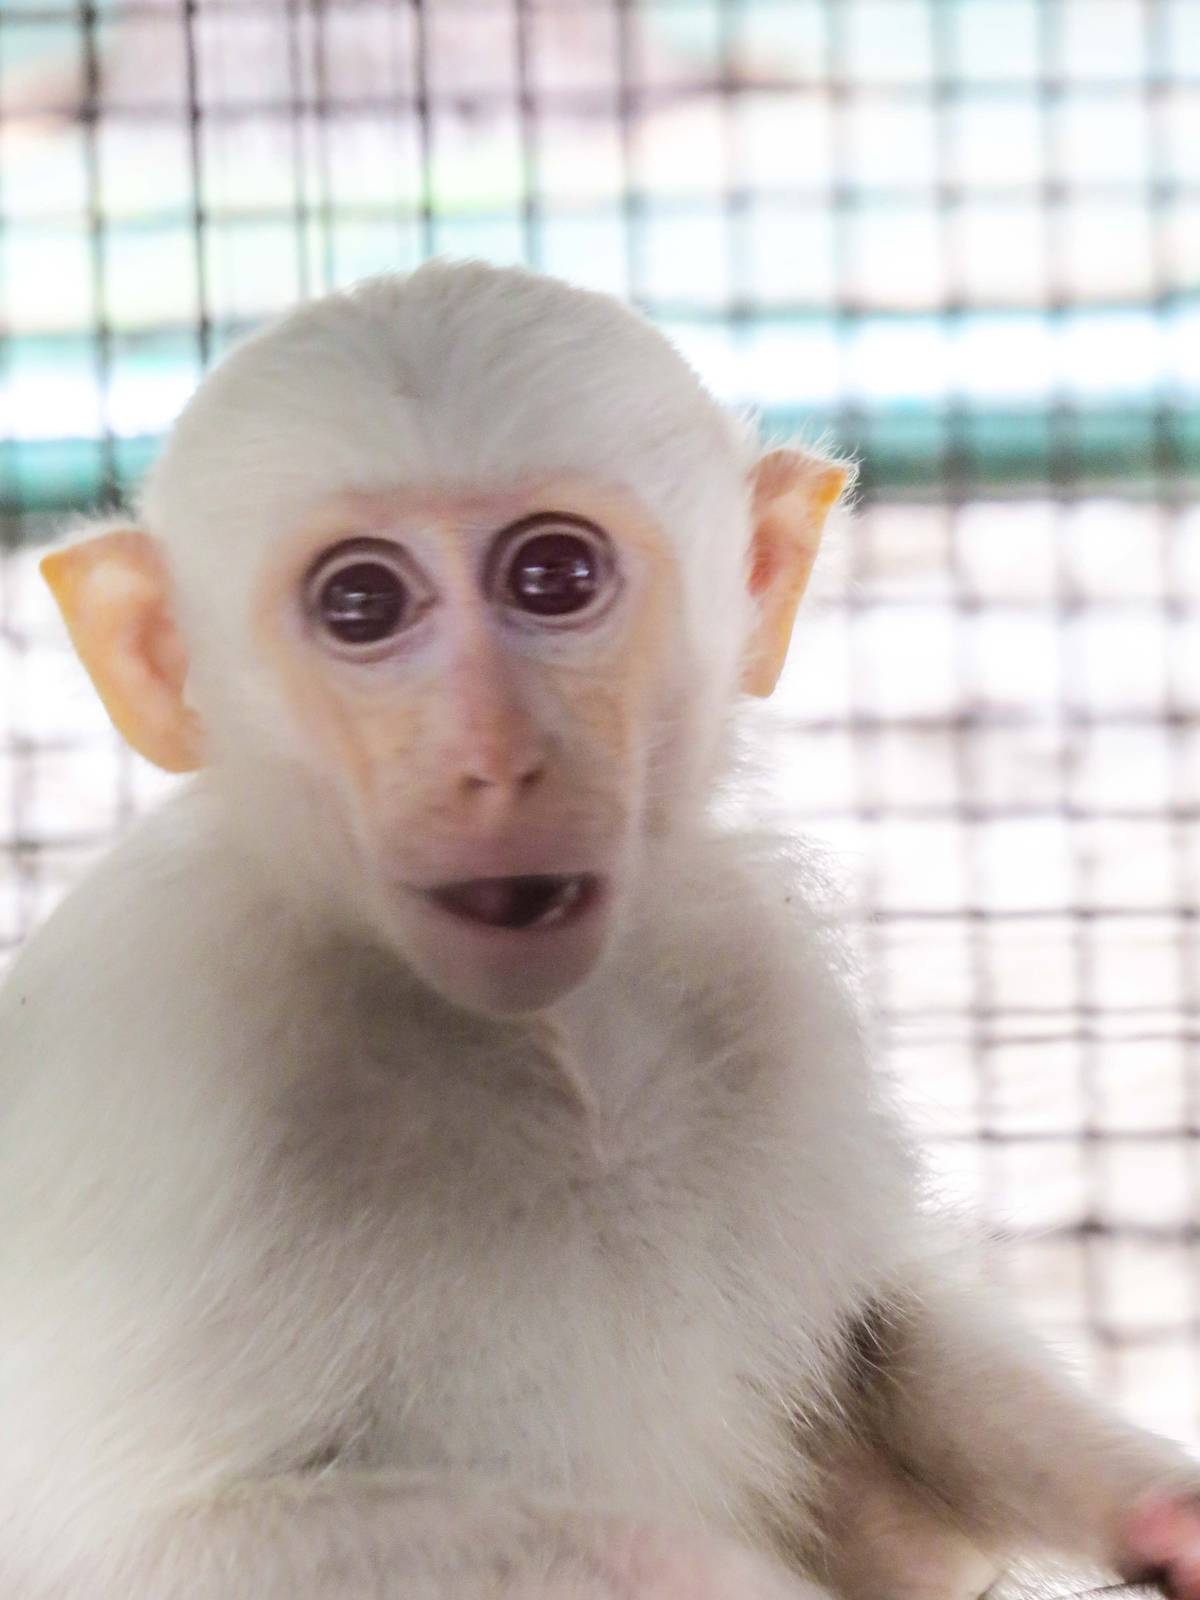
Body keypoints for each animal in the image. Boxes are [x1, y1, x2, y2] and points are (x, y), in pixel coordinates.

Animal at [2, 259, 1199, 1600]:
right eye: (360, 602)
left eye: (555, 578)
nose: (495, 760)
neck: (540, 1042)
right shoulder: (179, 1080)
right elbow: (126, 1550)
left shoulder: (754, 978)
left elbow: (869, 1345)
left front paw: (1161, 1509)